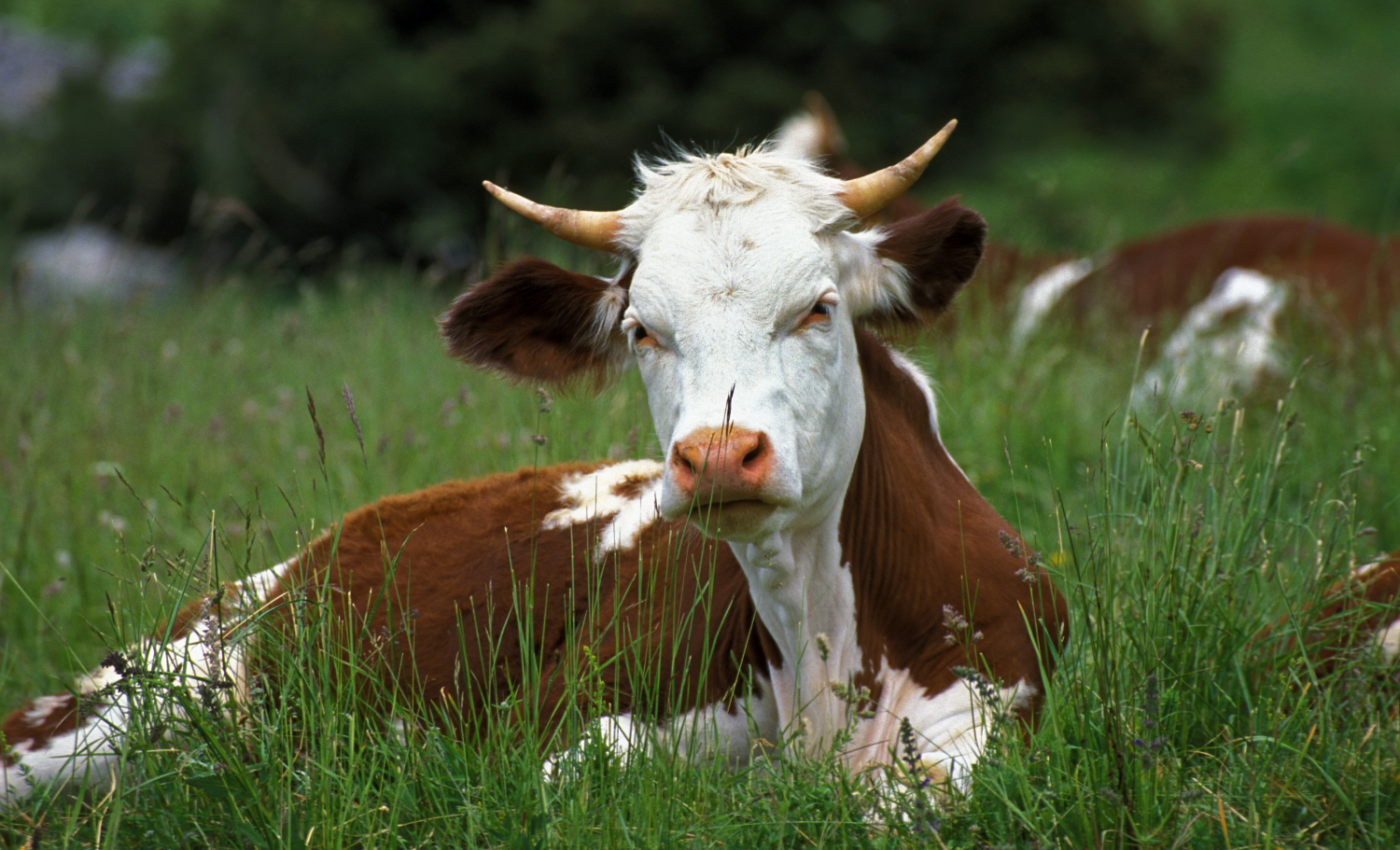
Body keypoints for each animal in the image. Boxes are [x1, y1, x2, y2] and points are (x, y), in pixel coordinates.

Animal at [3, 123, 1071, 807]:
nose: (717, 457)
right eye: (643, 330)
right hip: (114, 709)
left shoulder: (991, 710)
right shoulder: (566, 724)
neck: (817, 633)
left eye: (819, 306)